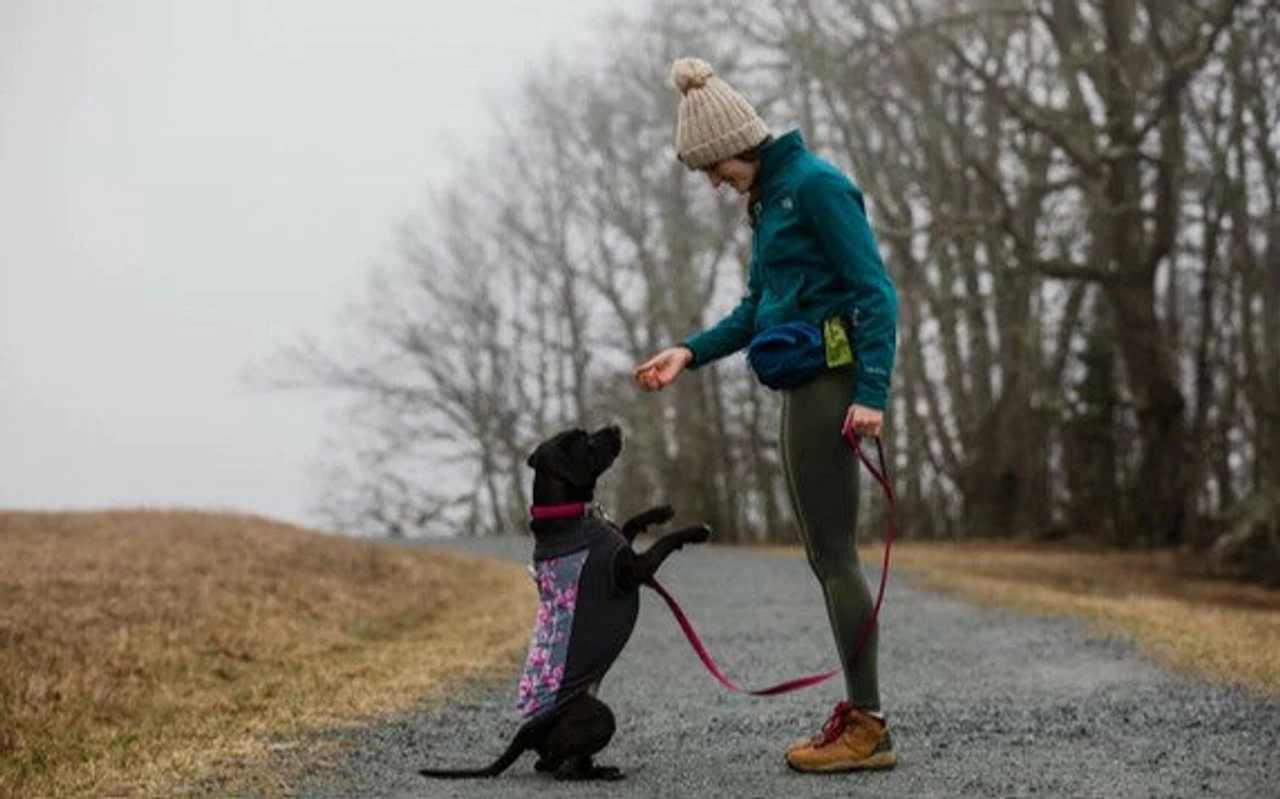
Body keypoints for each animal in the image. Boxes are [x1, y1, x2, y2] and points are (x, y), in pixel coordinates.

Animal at [418, 424, 710, 781]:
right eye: (585, 441)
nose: (615, 426)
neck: (567, 516)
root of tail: (527, 731)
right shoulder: (635, 570)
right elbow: (664, 542)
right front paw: (695, 530)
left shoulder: (622, 545)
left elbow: (628, 525)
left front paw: (659, 511)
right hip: (599, 716)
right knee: (562, 769)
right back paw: (601, 774)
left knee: (549, 763)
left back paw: (601, 768)